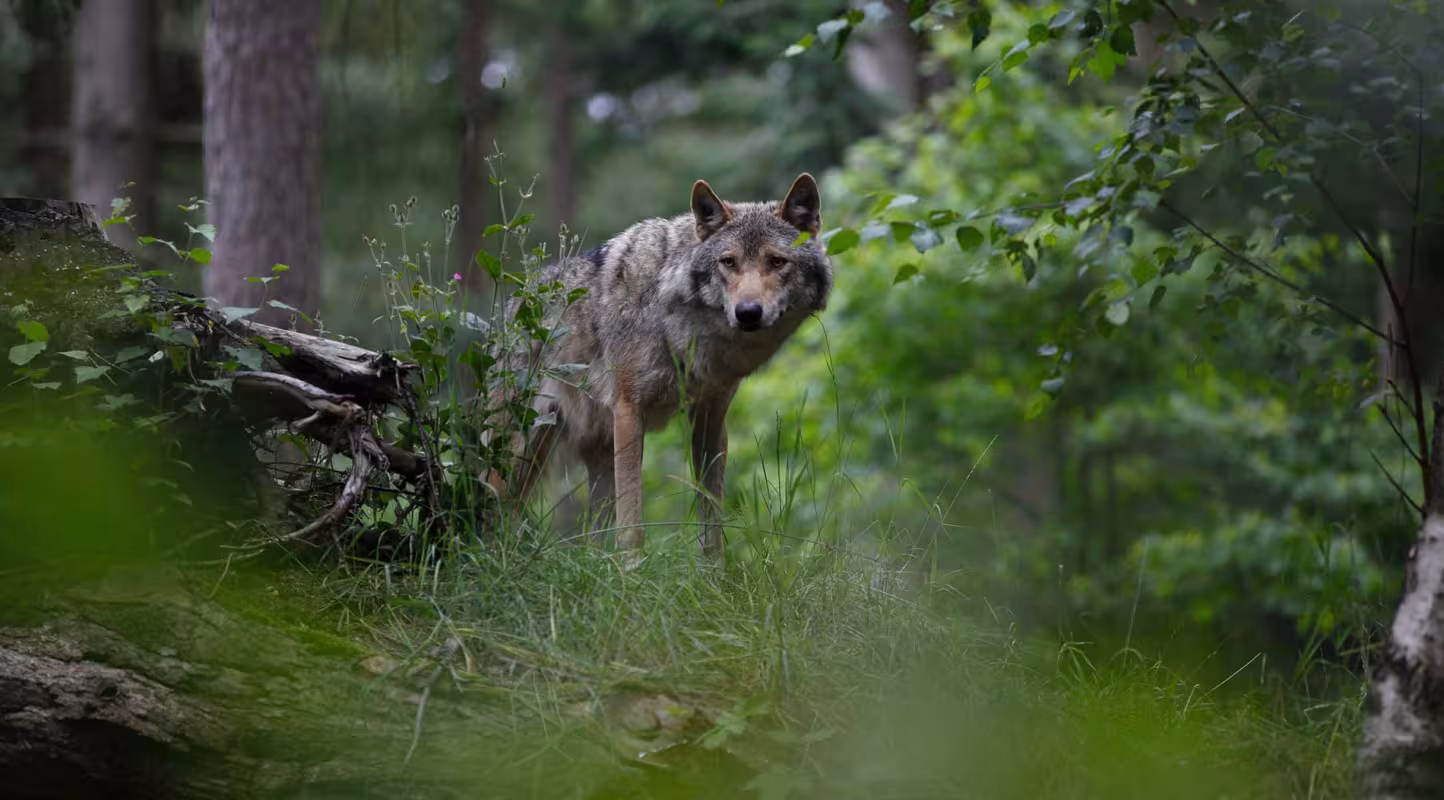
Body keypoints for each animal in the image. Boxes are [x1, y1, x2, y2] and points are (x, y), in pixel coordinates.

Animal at [486, 173, 832, 559]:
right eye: (728, 262)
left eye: (776, 262)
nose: (747, 313)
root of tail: (511, 304)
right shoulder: (629, 411)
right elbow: (632, 526)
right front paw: (631, 570)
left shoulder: (710, 420)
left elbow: (711, 524)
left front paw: (715, 573)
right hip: (517, 454)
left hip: (590, 463)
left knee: (589, 541)